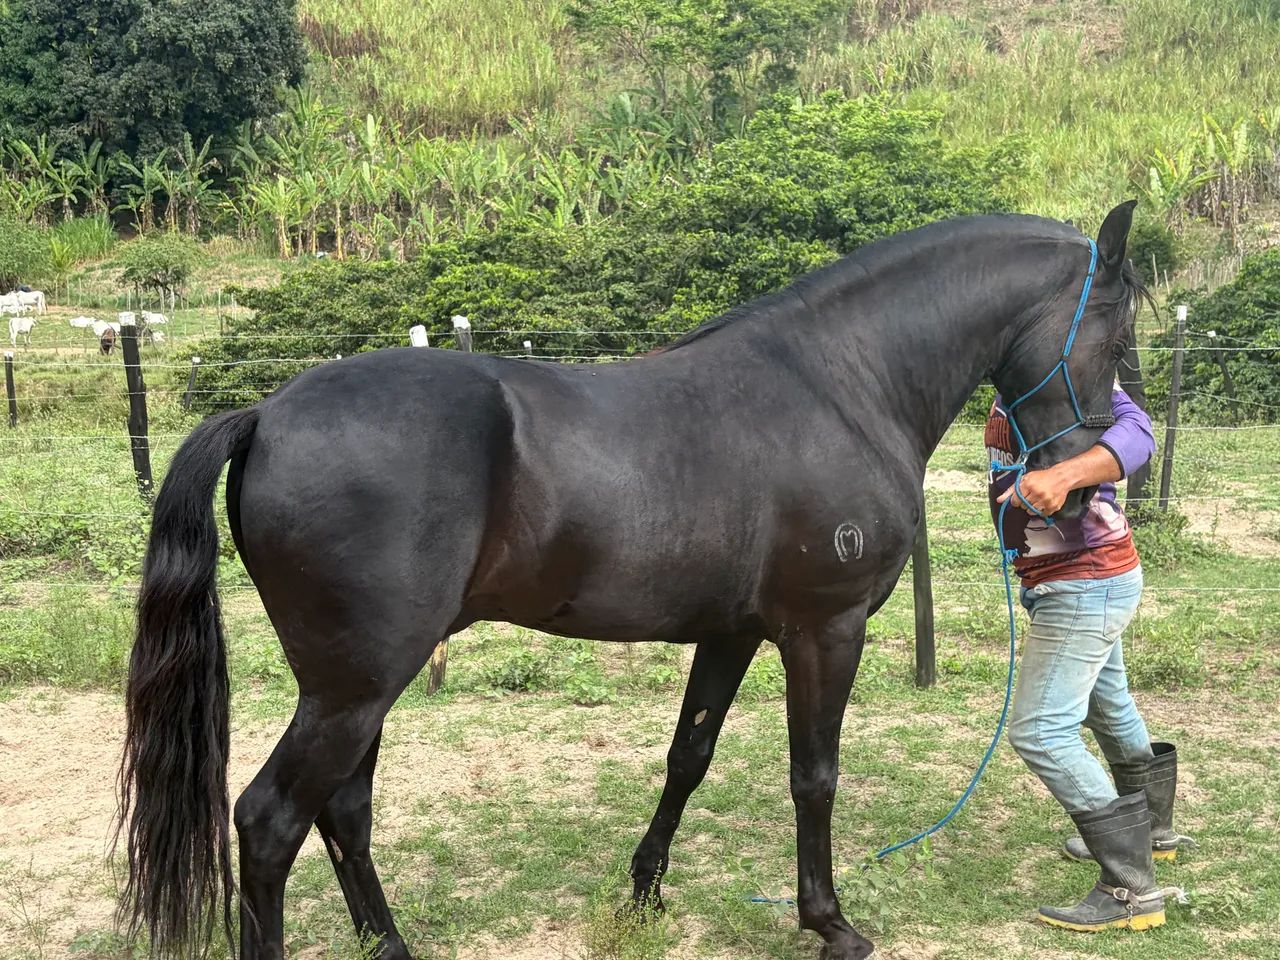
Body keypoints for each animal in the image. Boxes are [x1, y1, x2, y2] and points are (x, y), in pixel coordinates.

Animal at [118, 204, 1143, 960]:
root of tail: (266, 413)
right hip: (356, 685)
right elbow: (814, 775)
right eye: (1115, 323)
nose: (1080, 478)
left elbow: (689, 755)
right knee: (270, 822)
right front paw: (830, 923)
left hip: (354, 688)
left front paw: (645, 890)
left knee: (343, 810)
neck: (839, 384)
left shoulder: (733, 631)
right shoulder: (825, 628)